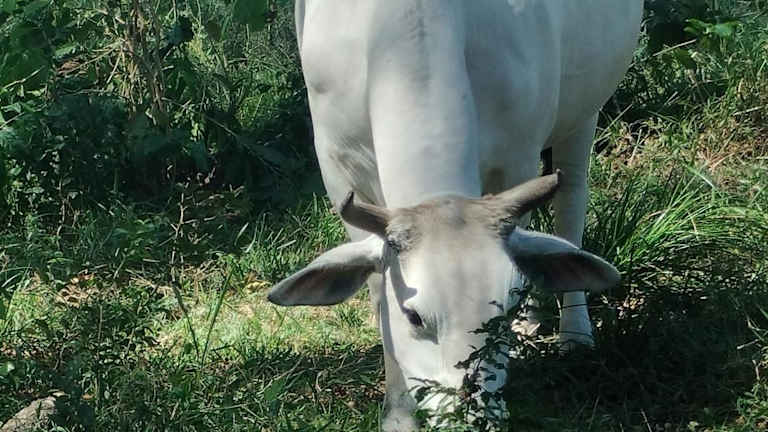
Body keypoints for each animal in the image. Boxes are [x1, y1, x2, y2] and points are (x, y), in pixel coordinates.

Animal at [268, 1, 643, 430]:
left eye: (502, 312)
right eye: (414, 317)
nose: (471, 417)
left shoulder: (518, 156)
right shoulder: (337, 166)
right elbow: (379, 290)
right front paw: (398, 414)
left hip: (583, 112)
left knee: (571, 204)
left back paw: (575, 335)